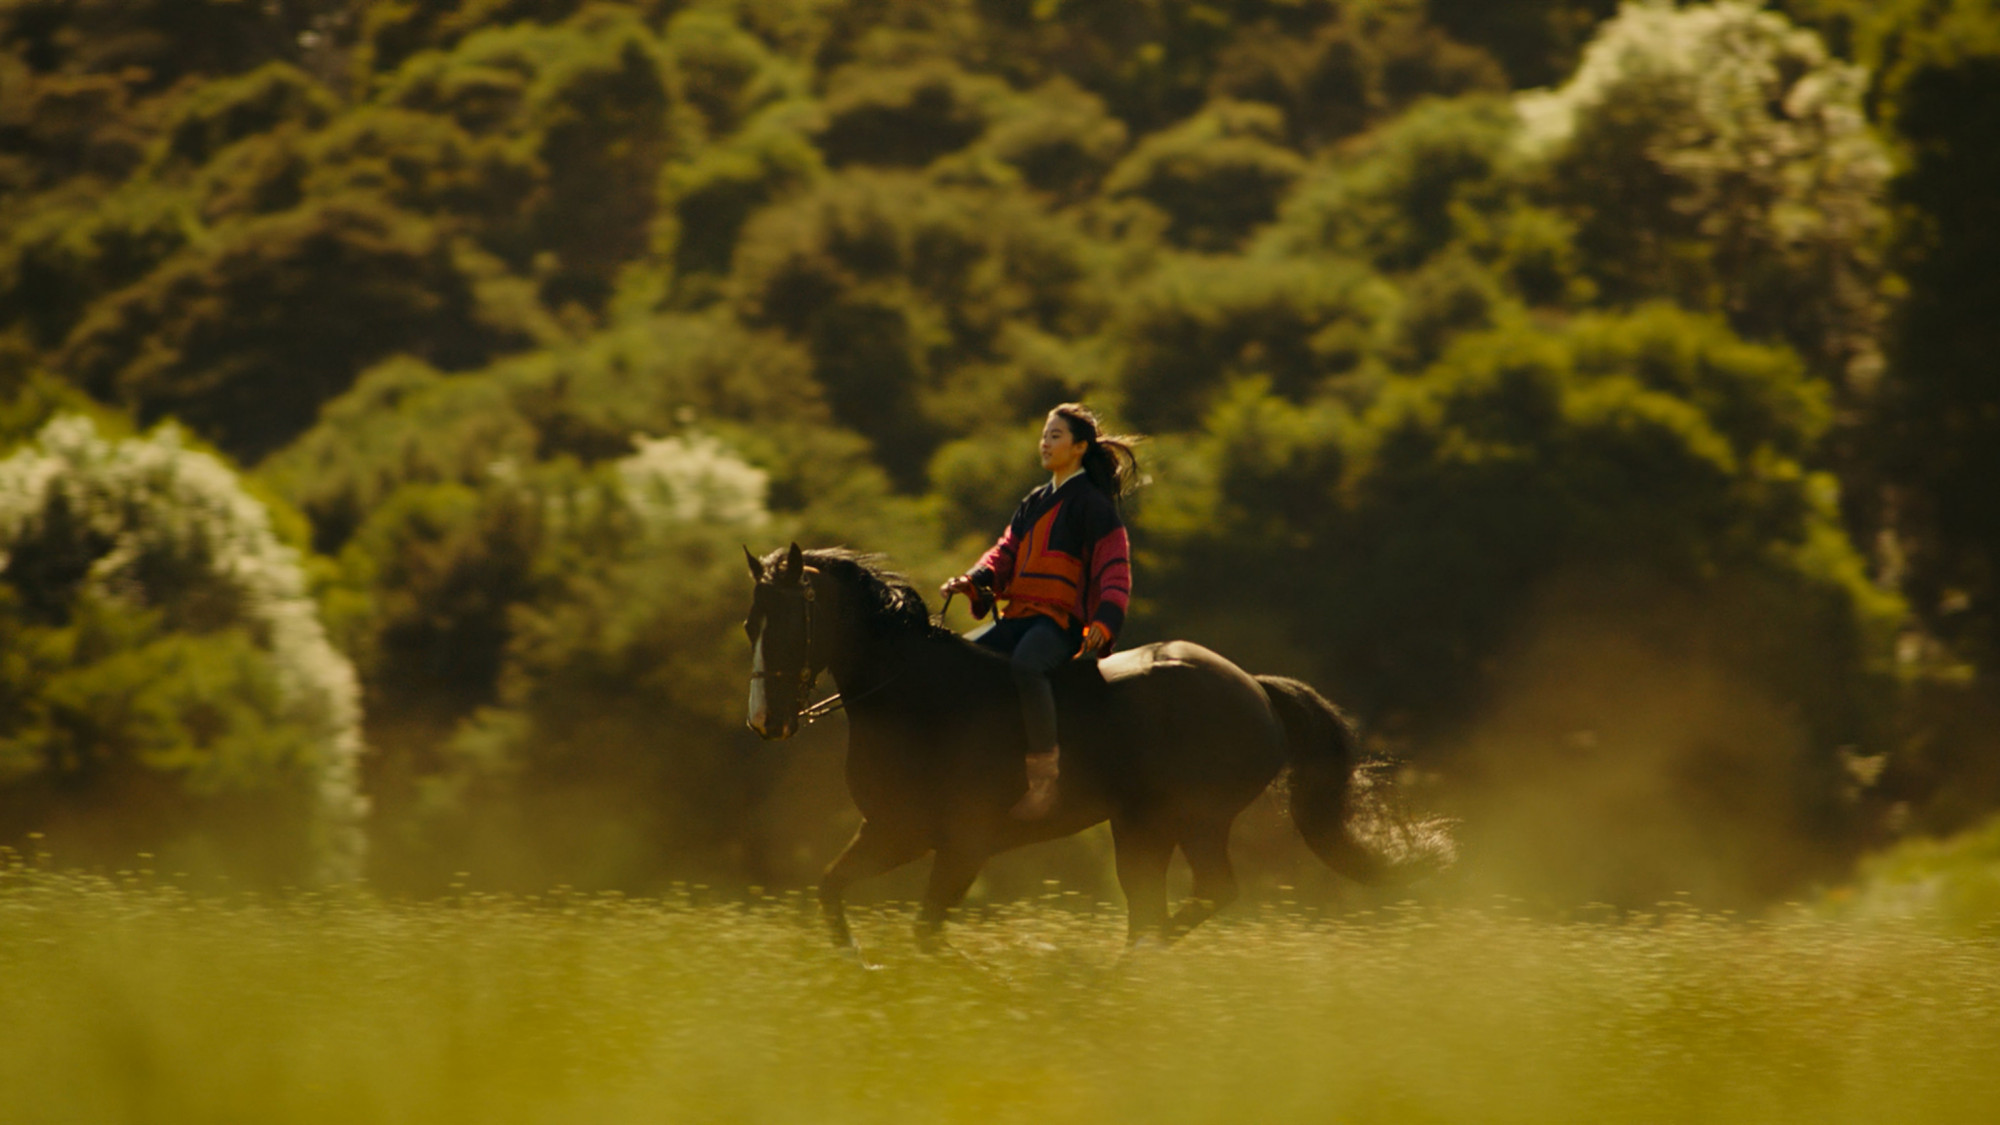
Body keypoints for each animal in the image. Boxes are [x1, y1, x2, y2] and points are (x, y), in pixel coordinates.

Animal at [744, 544, 1432, 952]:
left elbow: (925, 931)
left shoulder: (962, 845)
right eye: (752, 624)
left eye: (789, 625)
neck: (917, 695)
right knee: (1156, 908)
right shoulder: (894, 832)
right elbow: (832, 892)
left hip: (1190, 821)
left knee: (1196, 900)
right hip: (1142, 829)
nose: (766, 721)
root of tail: (1256, 688)